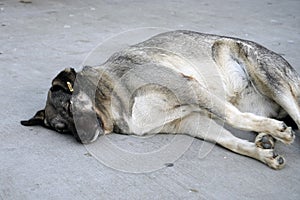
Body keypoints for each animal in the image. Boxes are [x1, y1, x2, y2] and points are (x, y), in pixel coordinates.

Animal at [19, 30, 298, 170]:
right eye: (61, 129)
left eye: (70, 106)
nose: (82, 139)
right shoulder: (189, 121)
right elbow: (230, 141)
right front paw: (262, 154)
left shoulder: (188, 87)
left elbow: (233, 116)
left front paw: (276, 133)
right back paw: (265, 138)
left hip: (265, 74)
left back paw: (273, 131)